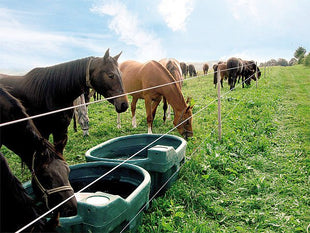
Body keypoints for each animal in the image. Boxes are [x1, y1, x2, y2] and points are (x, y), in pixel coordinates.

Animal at [0, 48, 128, 155]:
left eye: (121, 74)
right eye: (110, 75)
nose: (124, 104)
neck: (51, 93)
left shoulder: (60, 132)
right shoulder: (43, 133)